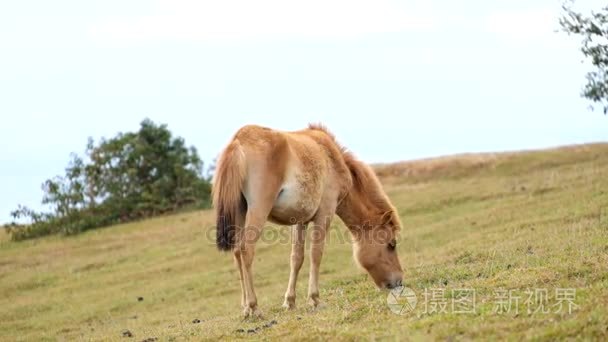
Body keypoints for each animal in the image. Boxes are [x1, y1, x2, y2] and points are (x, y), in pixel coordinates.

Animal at [214, 124, 404, 316]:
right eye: (391, 244)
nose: (399, 282)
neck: (332, 159)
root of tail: (239, 140)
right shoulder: (325, 214)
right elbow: (316, 254)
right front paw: (315, 299)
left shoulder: (300, 221)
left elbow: (297, 258)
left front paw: (289, 301)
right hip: (258, 210)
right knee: (246, 250)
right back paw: (254, 306)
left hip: (239, 212)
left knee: (237, 252)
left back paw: (246, 308)